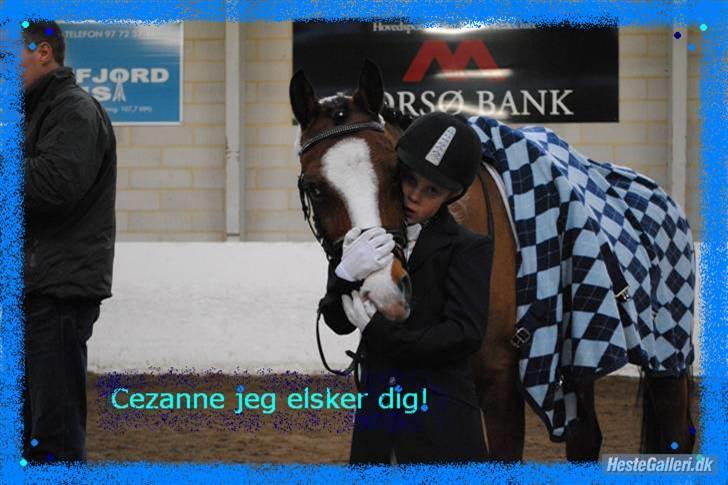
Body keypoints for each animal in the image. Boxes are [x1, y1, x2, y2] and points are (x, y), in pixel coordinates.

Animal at [290, 59, 695, 461]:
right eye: (314, 188)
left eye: (394, 172)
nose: (384, 291)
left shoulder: (501, 387)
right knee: (585, 439)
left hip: (669, 358)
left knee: (677, 432)